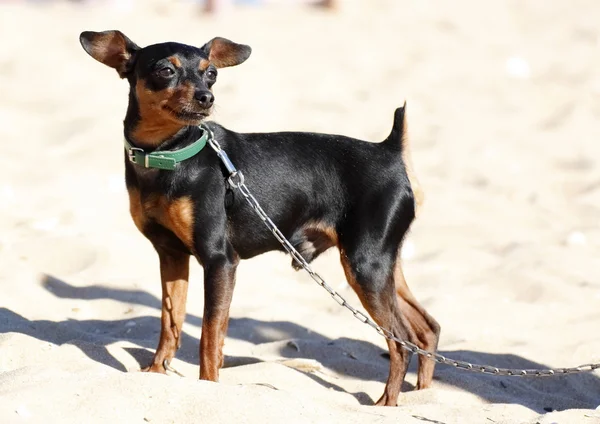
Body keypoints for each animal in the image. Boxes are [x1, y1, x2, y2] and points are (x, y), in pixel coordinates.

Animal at [78, 29, 436, 408]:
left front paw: (208, 385)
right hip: (383, 264)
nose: (207, 97)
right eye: (165, 70)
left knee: (401, 340)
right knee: (426, 329)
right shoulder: (171, 255)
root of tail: (389, 150)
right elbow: (170, 322)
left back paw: (387, 404)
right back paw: (422, 395)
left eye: (211, 73)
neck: (167, 154)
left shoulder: (220, 261)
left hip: (364, 265)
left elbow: (209, 335)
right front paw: (156, 373)